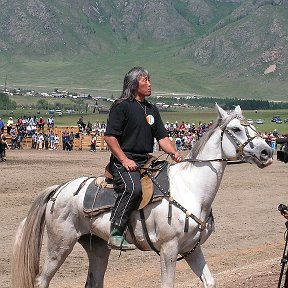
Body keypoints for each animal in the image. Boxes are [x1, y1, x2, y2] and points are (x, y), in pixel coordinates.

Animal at [11, 104, 272, 286]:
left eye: (253, 127)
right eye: (236, 129)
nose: (267, 152)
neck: (191, 189)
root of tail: (58, 189)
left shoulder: (191, 249)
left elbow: (209, 281)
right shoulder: (169, 250)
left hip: (97, 248)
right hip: (60, 246)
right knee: (41, 280)